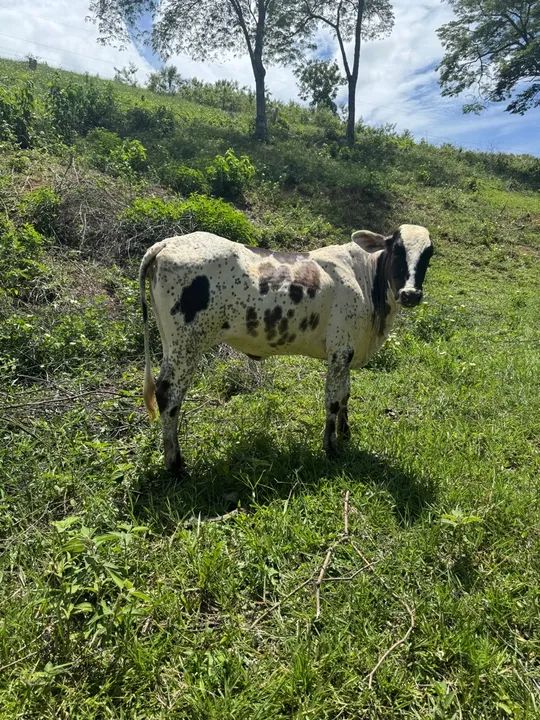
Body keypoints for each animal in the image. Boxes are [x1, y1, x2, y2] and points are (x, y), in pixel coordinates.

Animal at [139, 224, 433, 473]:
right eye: (397, 249)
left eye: (429, 254)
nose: (410, 294)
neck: (363, 279)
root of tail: (168, 242)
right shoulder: (339, 352)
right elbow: (333, 399)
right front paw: (330, 447)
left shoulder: (346, 351)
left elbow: (345, 395)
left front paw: (345, 433)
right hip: (186, 346)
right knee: (168, 396)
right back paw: (176, 466)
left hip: (171, 343)